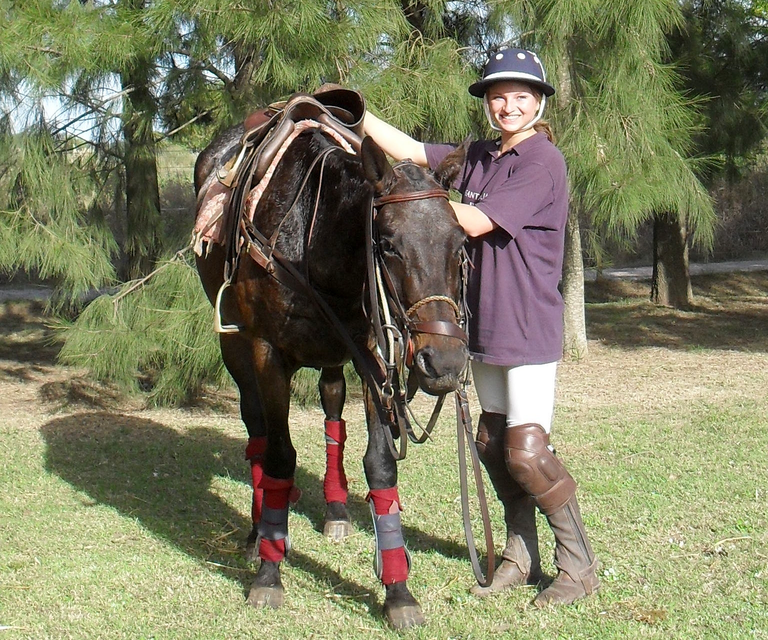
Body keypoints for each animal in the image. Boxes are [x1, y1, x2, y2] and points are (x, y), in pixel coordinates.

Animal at [192, 117, 468, 628]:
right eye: (388, 245)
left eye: (460, 243)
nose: (443, 363)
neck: (313, 235)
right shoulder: (266, 352)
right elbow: (279, 456)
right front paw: (269, 572)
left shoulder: (370, 350)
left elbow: (380, 463)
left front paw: (397, 588)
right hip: (235, 348)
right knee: (257, 430)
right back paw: (258, 532)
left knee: (332, 403)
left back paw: (336, 509)